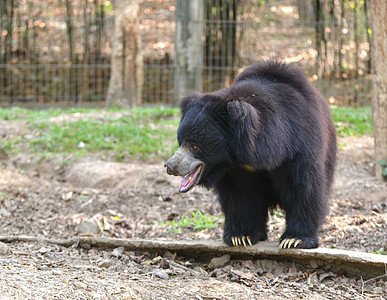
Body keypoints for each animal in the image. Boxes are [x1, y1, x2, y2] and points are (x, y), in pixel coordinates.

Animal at [164, 60, 336, 248]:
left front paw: (294, 239)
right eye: (181, 141)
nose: (170, 166)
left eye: (194, 145)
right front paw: (240, 237)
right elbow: (240, 195)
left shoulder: (299, 145)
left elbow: (304, 187)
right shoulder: (236, 170)